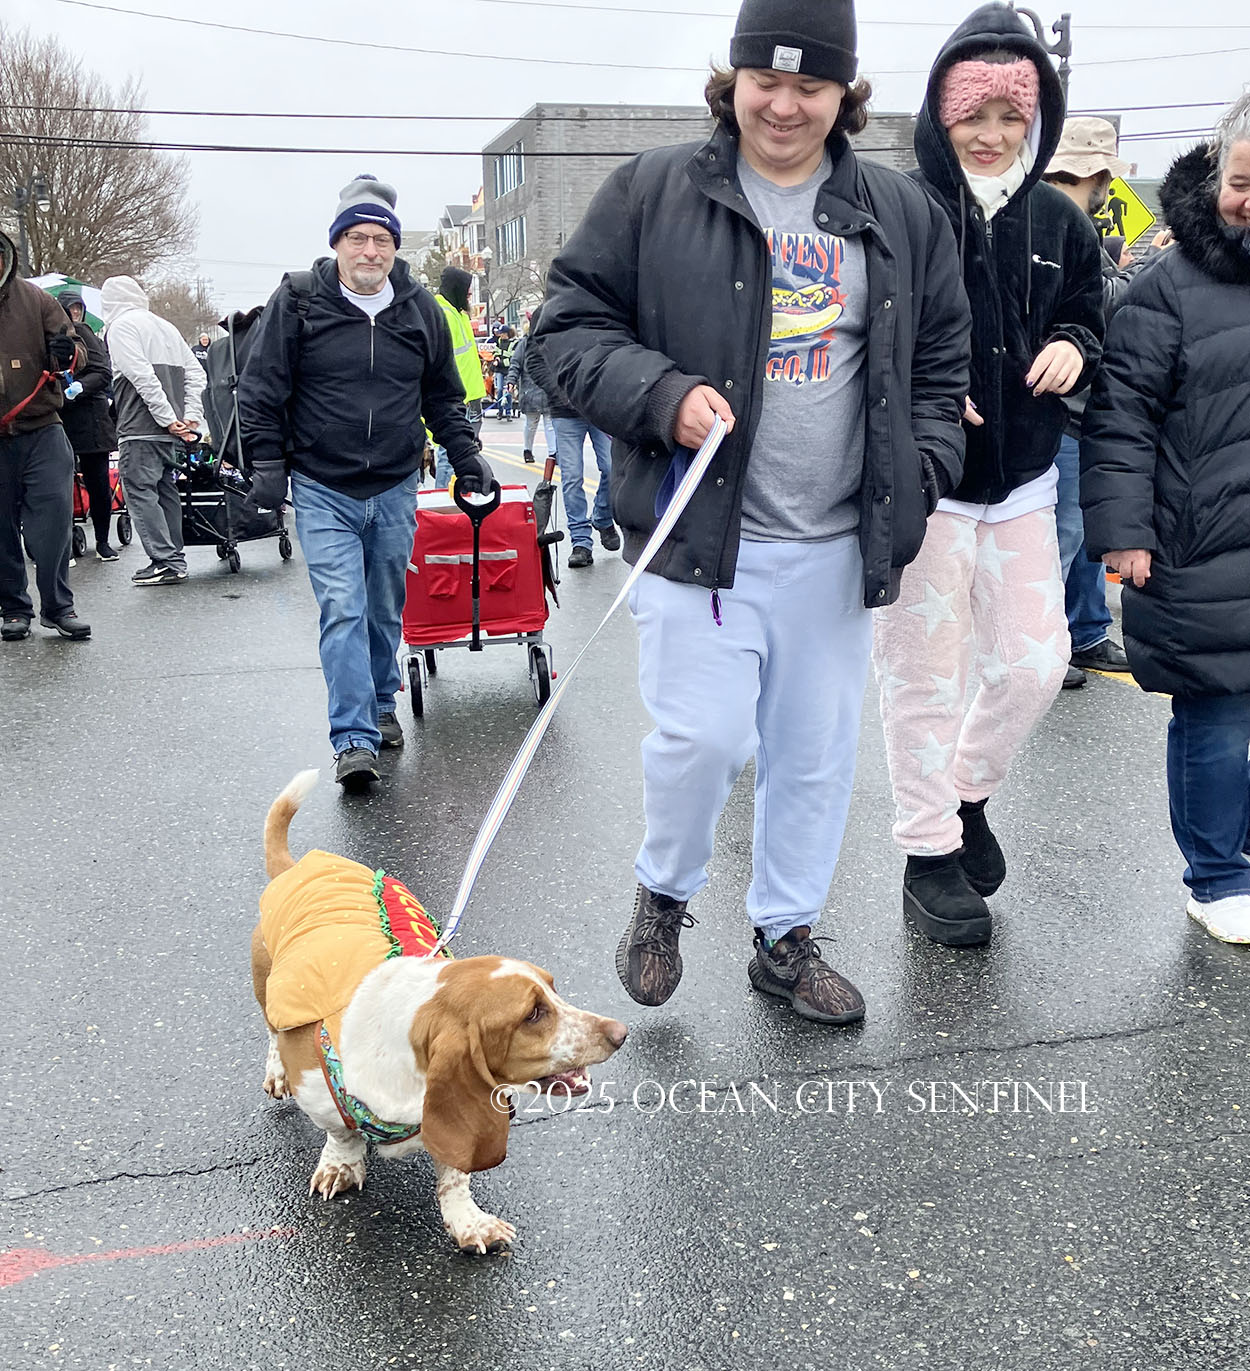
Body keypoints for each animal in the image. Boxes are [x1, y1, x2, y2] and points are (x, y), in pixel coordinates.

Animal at [250, 770, 627, 1253]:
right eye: (532, 1014)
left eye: (553, 989)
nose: (620, 1032)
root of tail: (298, 866)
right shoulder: (317, 1091)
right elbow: (341, 1132)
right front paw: (342, 1165)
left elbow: (454, 1174)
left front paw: (470, 1223)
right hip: (267, 985)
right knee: (271, 1030)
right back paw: (276, 1072)